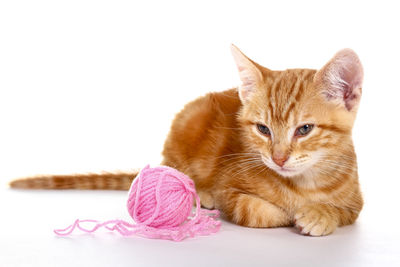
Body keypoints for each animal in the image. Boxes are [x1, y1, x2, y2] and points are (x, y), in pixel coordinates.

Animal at [10, 45, 366, 237]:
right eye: (263, 129)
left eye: (304, 129)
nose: (278, 158)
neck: (303, 184)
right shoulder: (231, 188)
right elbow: (258, 211)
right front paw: (289, 213)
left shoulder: (356, 202)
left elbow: (343, 211)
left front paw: (320, 214)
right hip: (187, 121)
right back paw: (200, 192)